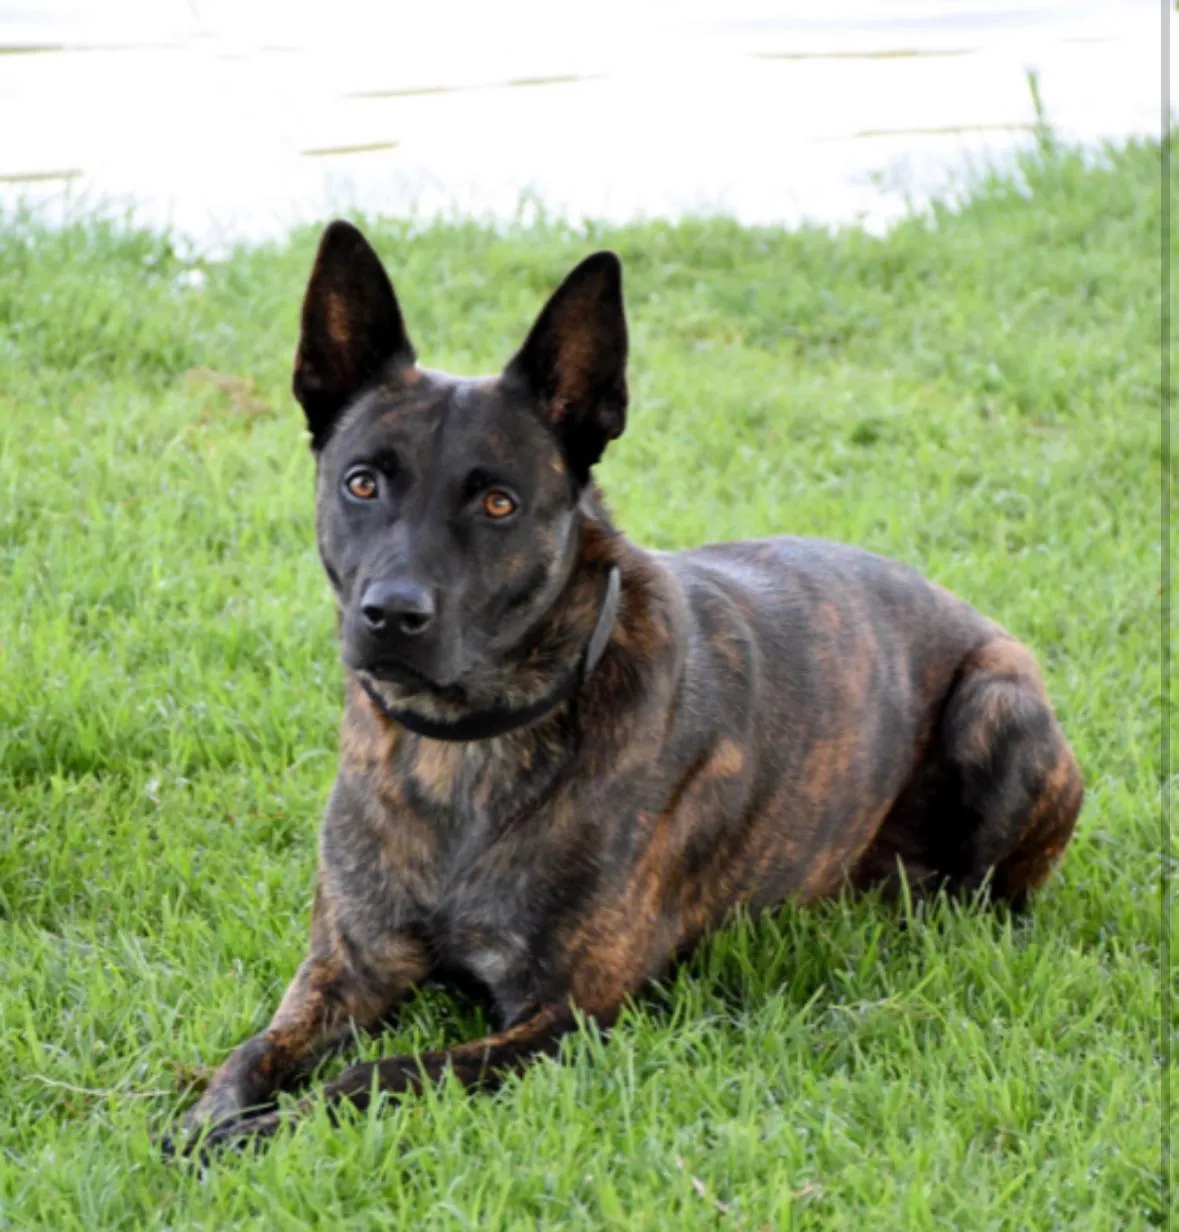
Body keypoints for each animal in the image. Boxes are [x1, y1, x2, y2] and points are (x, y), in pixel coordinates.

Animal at [170, 221, 1079, 1153]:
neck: (462, 748)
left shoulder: (564, 1016)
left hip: (995, 710)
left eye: (498, 504)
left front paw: (265, 1131)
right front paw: (205, 1122)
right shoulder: (345, 969)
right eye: (361, 482)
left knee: (988, 897)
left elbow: (375, 1076)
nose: (391, 614)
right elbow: (250, 1053)